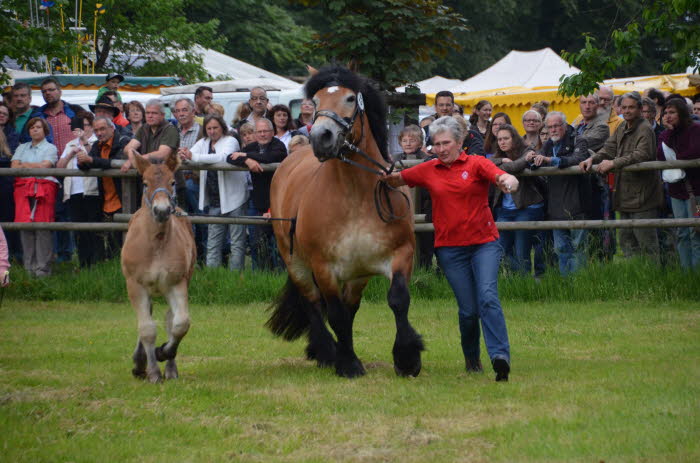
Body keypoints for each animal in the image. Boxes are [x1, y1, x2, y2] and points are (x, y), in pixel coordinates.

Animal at [121, 152, 196, 384]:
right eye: (145, 183)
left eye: (172, 182)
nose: (162, 211)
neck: (156, 243)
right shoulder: (135, 286)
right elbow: (147, 328)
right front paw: (152, 371)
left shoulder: (177, 283)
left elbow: (180, 324)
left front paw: (163, 352)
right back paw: (140, 362)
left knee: (171, 319)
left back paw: (170, 368)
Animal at [266, 66, 422, 376]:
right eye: (314, 101)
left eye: (350, 98)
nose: (321, 137)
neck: (355, 196)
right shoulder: (323, 266)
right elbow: (335, 313)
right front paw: (348, 363)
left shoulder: (400, 254)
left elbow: (398, 299)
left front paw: (407, 357)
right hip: (295, 262)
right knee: (313, 303)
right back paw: (326, 351)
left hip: (357, 274)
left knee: (348, 308)